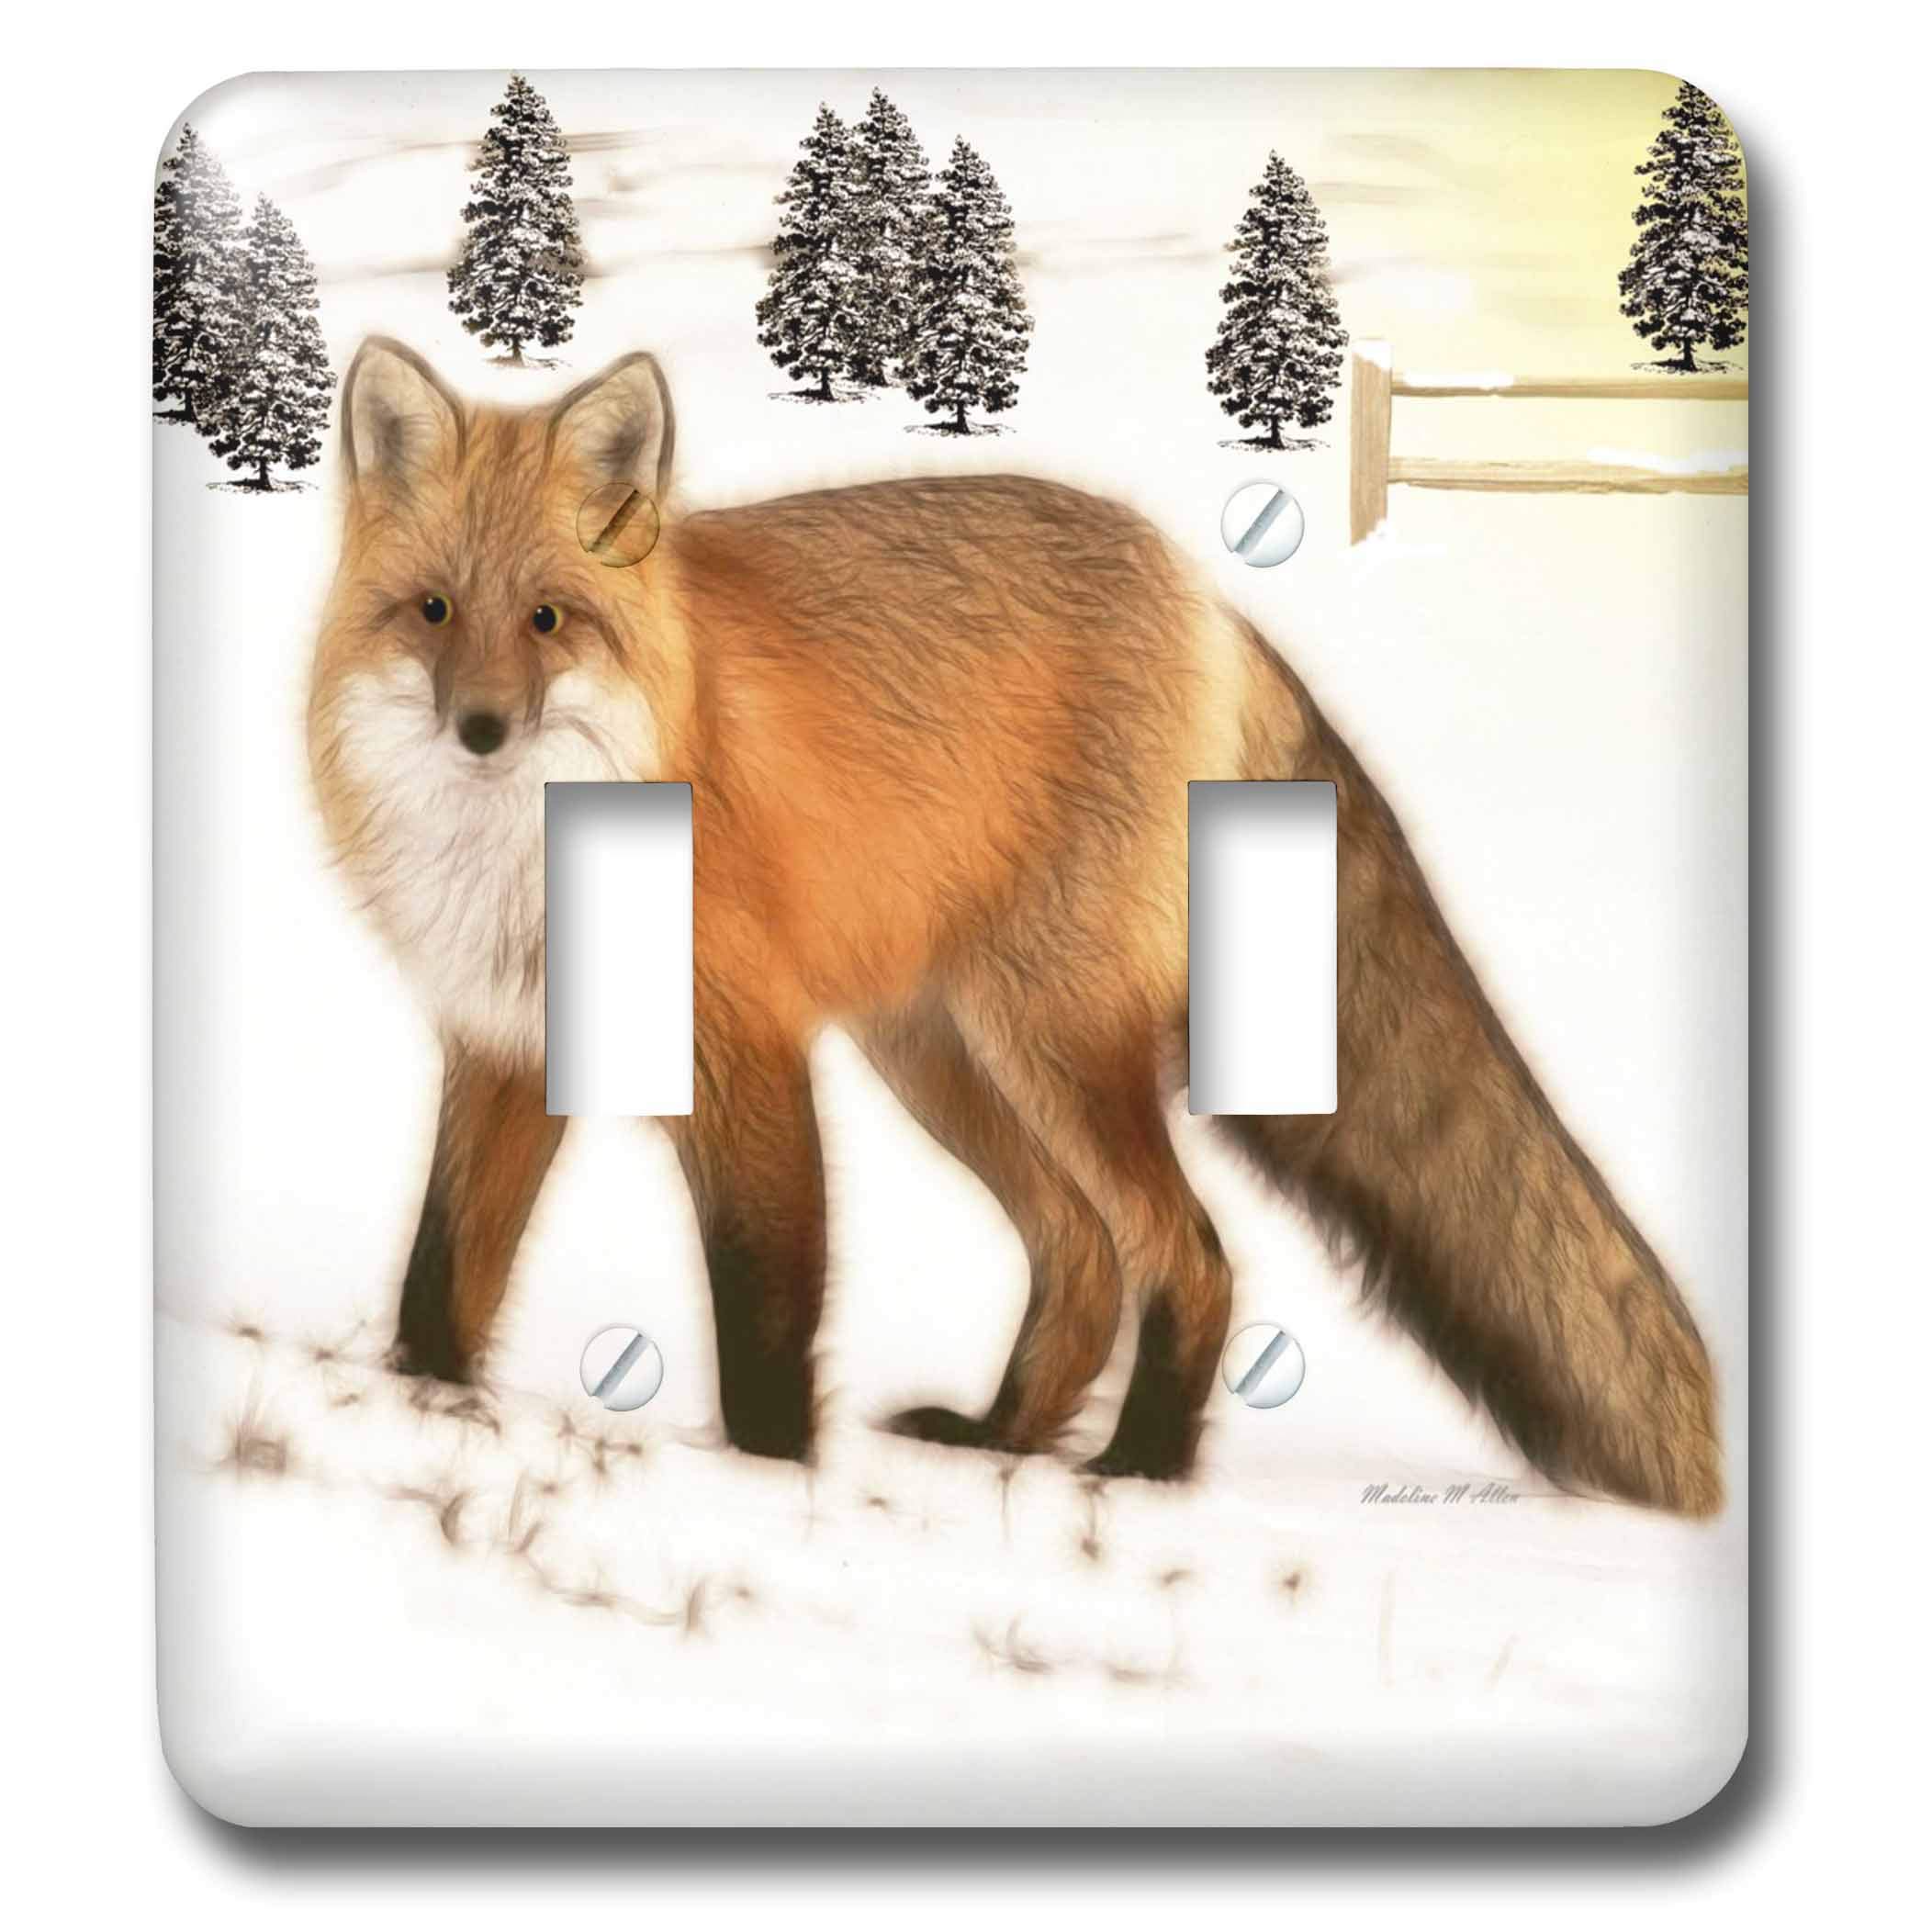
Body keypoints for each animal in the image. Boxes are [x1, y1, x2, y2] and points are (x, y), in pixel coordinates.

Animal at [307, 337, 1723, 1514]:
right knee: (1083, 1255)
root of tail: (1205, 594)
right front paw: (422, 1406)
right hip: (942, 1055)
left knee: (1188, 1254)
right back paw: (1002, 1439)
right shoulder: (508, 1044)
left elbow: (767, 1301)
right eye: (435, 612)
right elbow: (442, 1265)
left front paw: (768, 1485)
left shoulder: (743, 1049)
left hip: (1048, 1041)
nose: (480, 729)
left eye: (549, 619)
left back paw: (1142, 1469)